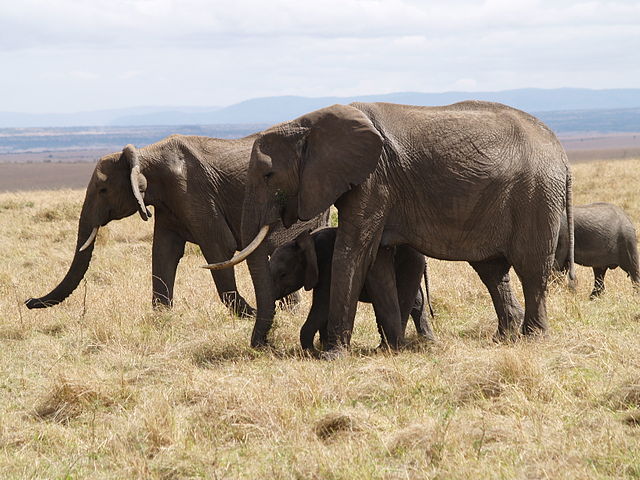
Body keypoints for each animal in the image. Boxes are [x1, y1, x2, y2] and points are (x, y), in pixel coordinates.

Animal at [25, 135, 327, 314]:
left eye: (102, 190)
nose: (28, 301)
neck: (144, 155)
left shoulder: (193, 192)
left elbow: (219, 249)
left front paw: (247, 314)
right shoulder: (169, 202)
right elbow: (163, 252)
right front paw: (161, 317)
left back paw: (287, 312)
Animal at [268, 227, 435, 351]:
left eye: (283, 274)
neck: (308, 240)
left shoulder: (328, 264)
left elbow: (323, 303)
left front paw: (313, 350)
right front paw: (323, 345)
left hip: (409, 265)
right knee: (416, 304)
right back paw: (428, 341)